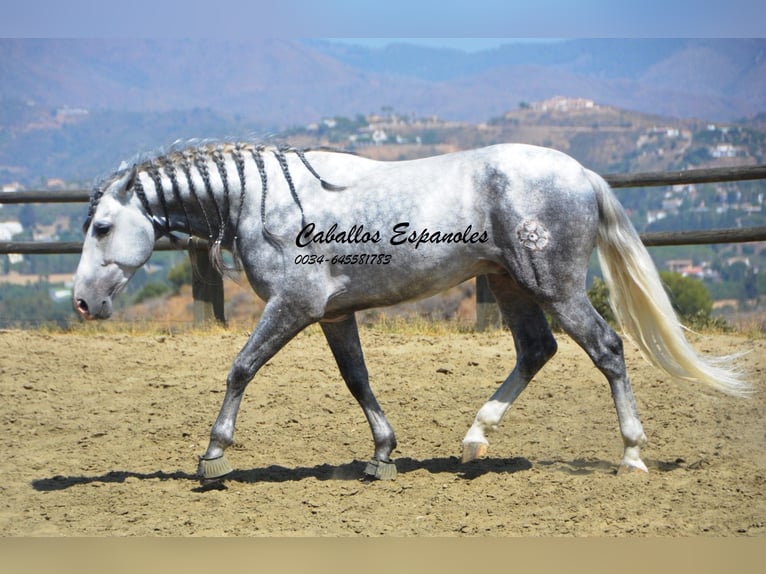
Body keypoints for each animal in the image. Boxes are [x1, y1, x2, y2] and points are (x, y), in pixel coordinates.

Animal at [73, 143, 752, 482]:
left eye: (103, 227)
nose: (82, 302)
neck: (262, 202)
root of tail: (584, 174)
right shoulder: (333, 314)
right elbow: (357, 379)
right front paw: (382, 455)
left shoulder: (295, 306)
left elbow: (241, 367)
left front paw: (213, 457)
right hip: (509, 284)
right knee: (537, 350)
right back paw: (475, 440)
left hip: (554, 285)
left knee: (607, 349)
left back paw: (632, 456)